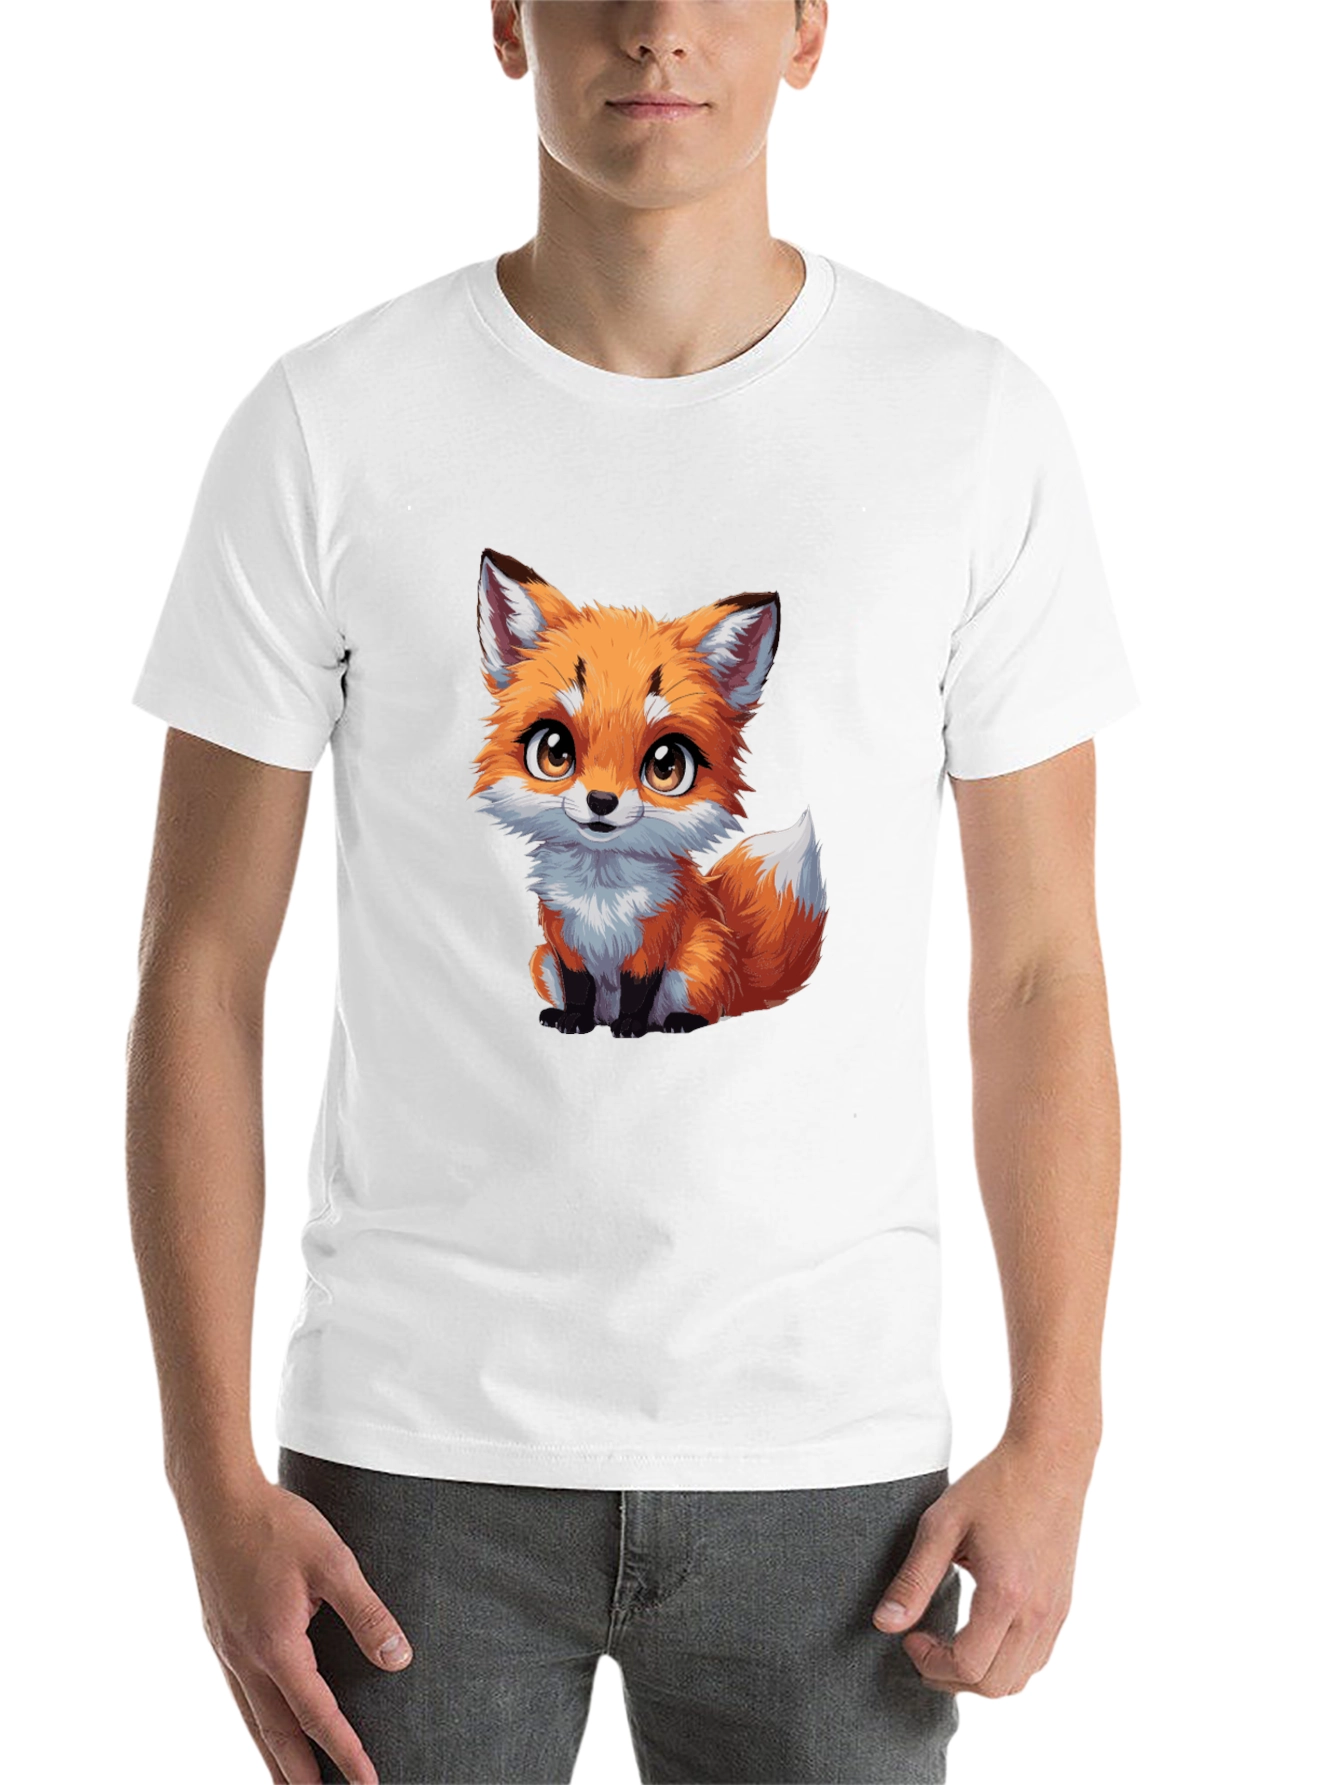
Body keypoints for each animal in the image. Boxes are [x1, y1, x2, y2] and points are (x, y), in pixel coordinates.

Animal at [469, 548, 827, 1038]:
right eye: (555, 751)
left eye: (665, 764)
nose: (602, 802)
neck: (600, 894)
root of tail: (737, 966)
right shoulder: (563, 940)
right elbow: (578, 986)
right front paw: (574, 1021)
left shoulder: (657, 938)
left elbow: (640, 989)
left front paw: (631, 1027)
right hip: (538, 961)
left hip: (698, 962)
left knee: (709, 1011)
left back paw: (675, 1021)